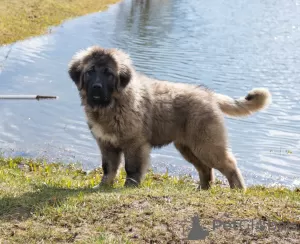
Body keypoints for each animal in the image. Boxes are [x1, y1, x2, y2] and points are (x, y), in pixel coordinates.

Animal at [68, 45, 272, 191]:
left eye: (108, 74)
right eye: (90, 72)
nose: (96, 88)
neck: (112, 104)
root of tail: (209, 95)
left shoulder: (134, 144)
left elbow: (132, 168)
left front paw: (129, 187)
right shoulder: (106, 144)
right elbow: (108, 168)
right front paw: (103, 186)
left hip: (206, 144)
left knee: (229, 165)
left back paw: (237, 189)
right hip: (188, 147)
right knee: (205, 169)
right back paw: (202, 190)